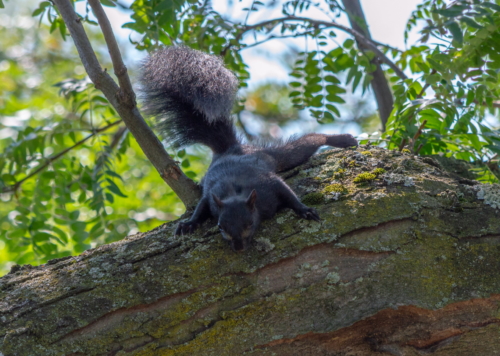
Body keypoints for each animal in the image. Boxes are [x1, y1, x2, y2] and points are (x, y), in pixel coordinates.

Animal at [142, 46, 360, 250]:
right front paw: (189, 224)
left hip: (277, 156)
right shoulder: (211, 198)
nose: (238, 247)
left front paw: (304, 209)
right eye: (220, 227)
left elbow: (288, 192)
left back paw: (343, 140)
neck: (234, 193)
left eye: (248, 223)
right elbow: (200, 208)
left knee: (308, 143)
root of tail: (231, 149)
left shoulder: (269, 184)